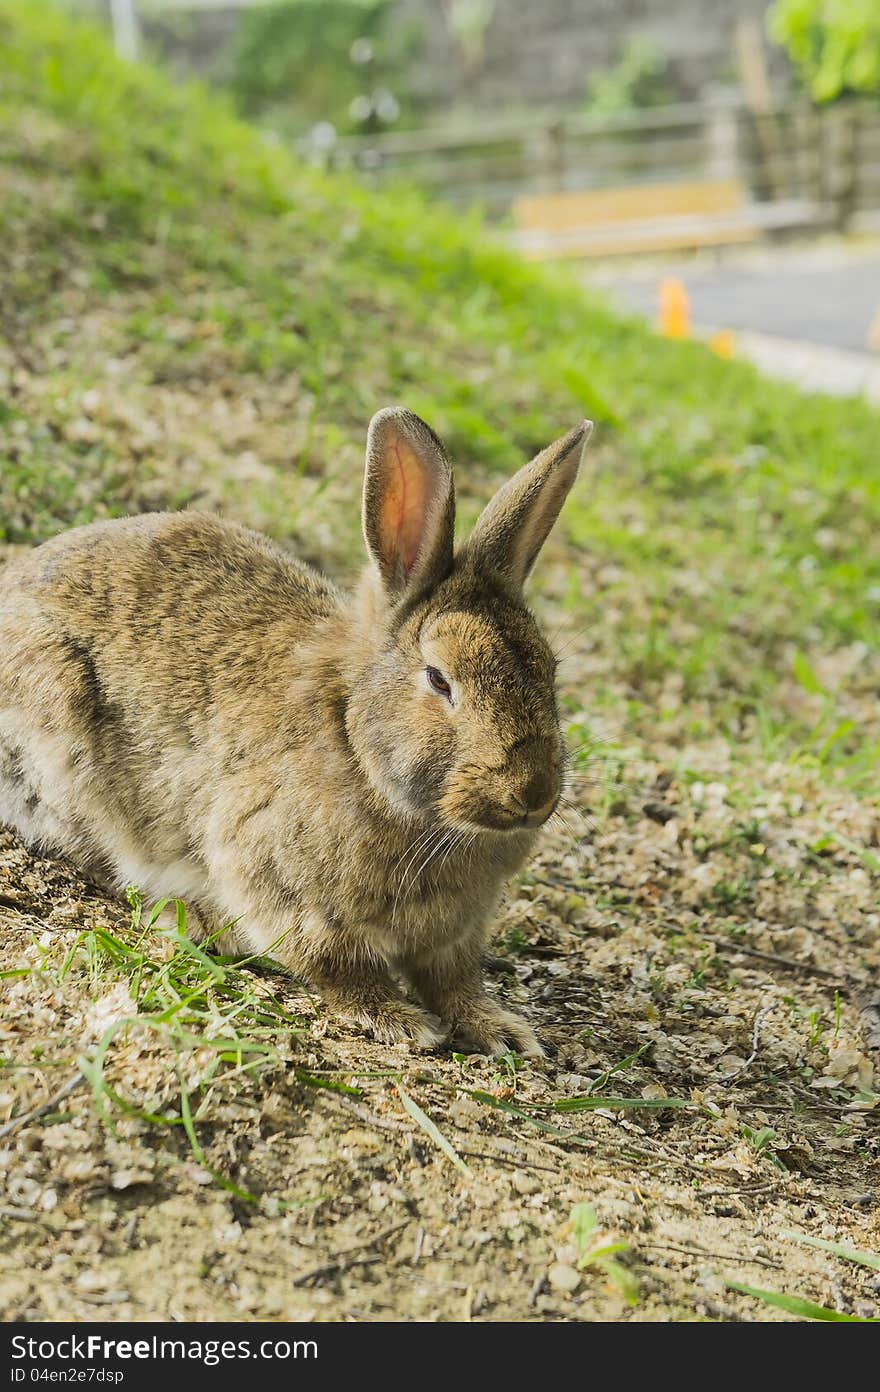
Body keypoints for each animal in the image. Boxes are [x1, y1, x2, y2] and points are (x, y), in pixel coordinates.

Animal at [0, 409, 595, 1052]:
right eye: (440, 679)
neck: (359, 748)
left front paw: (501, 1030)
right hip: (59, 737)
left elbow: (454, 982)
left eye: (550, 670)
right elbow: (336, 966)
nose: (533, 794)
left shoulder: (454, 937)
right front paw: (400, 1020)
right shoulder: (278, 883)